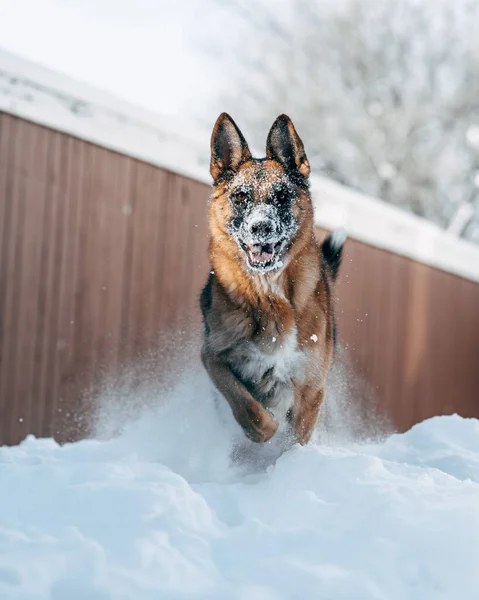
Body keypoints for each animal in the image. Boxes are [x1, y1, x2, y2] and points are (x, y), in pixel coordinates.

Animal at [200, 113, 344, 446]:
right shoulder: (213, 356)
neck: (268, 294)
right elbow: (247, 407)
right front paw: (263, 432)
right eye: (240, 196)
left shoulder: (310, 387)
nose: (260, 227)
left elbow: (294, 440)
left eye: (282, 195)